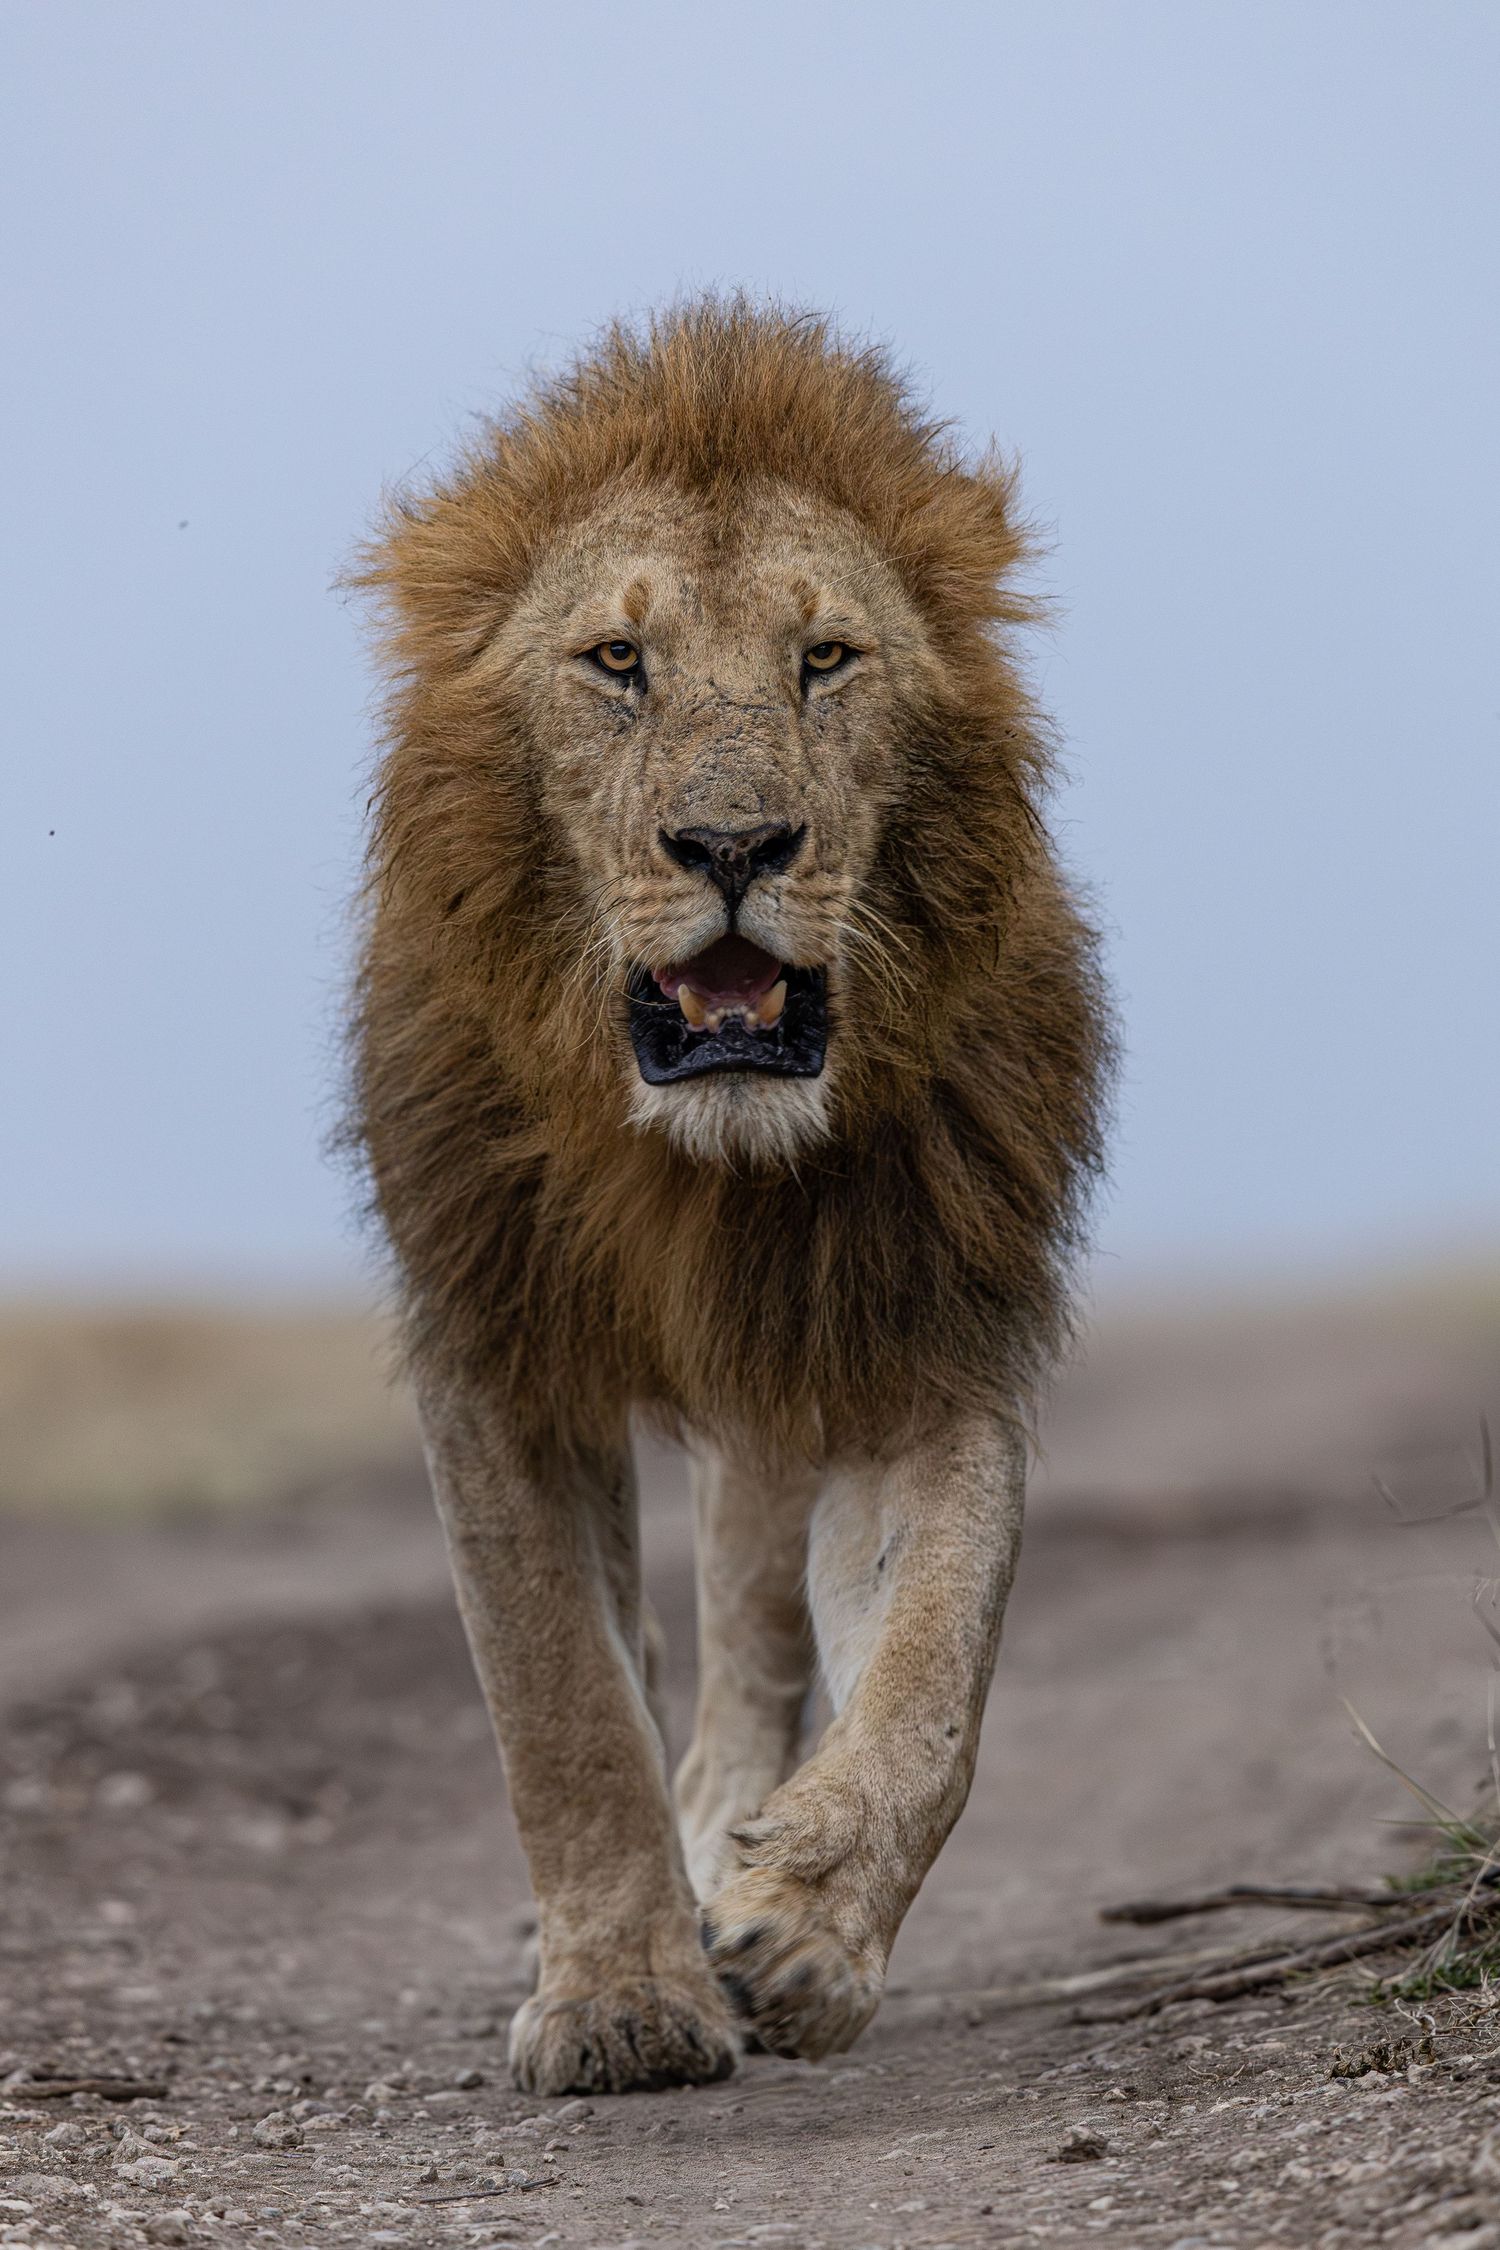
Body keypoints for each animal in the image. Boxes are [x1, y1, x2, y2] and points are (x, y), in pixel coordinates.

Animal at [347, 300, 1109, 2095]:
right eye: (616, 664)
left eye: (824, 659)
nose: (736, 843)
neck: (705, 1157)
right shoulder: (491, 1337)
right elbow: (559, 1697)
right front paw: (623, 1999)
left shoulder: (917, 1323)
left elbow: (933, 1677)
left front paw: (806, 1928)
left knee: (759, 1649)